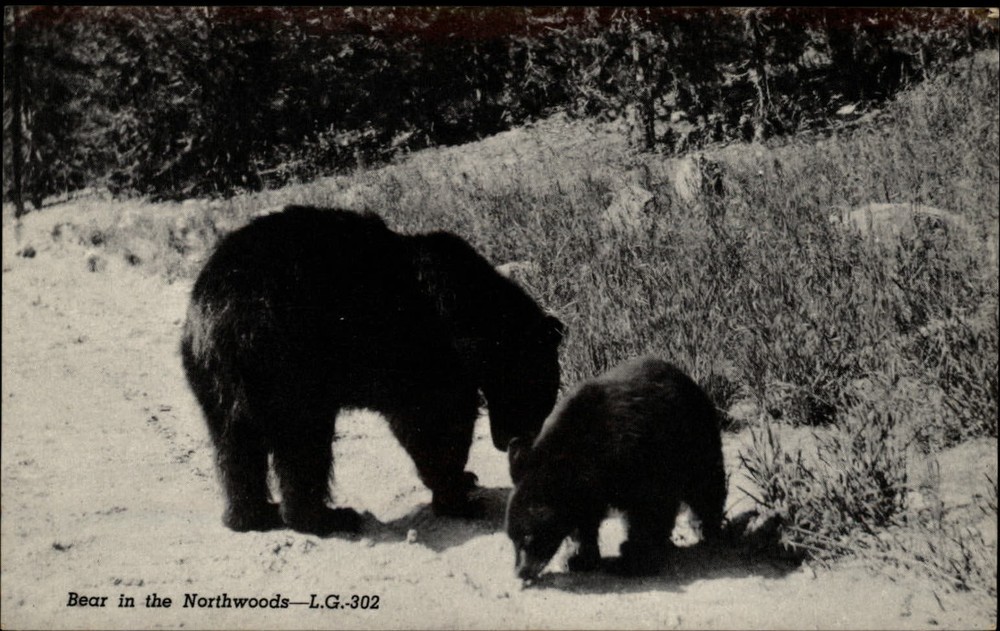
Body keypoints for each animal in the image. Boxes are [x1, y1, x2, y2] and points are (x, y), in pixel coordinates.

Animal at [181, 205, 564, 536]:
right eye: (540, 396)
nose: (512, 444)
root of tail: (216, 315)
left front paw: (464, 480)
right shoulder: (430, 351)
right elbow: (435, 423)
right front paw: (459, 496)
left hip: (214, 381)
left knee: (234, 445)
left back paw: (251, 516)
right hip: (287, 362)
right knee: (303, 442)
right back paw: (325, 517)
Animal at [505, 355, 726, 580]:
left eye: (528, 537)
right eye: (511, 538)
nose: (520, 572)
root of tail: (686, 378)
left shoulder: (639, 459)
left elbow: (650, 507)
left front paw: (634, 561)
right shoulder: (589, 487)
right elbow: (585, 518)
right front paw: (578, 558)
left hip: (694, 440)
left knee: (706, 485)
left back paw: (706, 528)